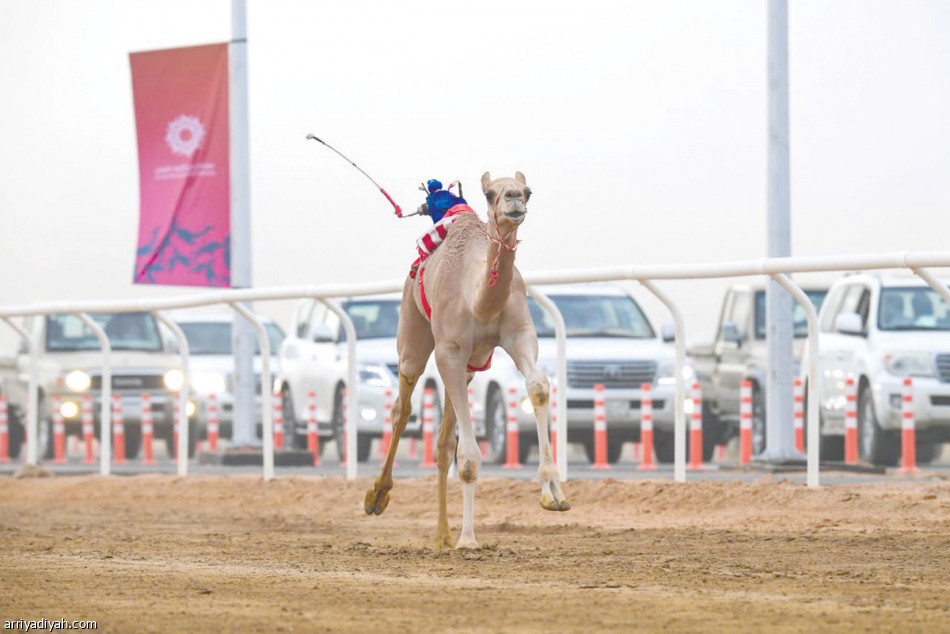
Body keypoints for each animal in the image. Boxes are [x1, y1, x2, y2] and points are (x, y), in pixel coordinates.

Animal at [366, 170, 572, 544]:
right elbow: (468, 456)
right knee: (402, 406)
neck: (479, 300)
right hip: (413, 334)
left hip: (468, 368)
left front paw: (554, 493)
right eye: (490, 193)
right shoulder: (449, 350)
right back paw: (378, 496)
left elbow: (537, 385)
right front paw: (469, 539)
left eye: (528, 191)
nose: (514, 199)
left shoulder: (518, 337)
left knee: (443, 442)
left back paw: (442, 535)